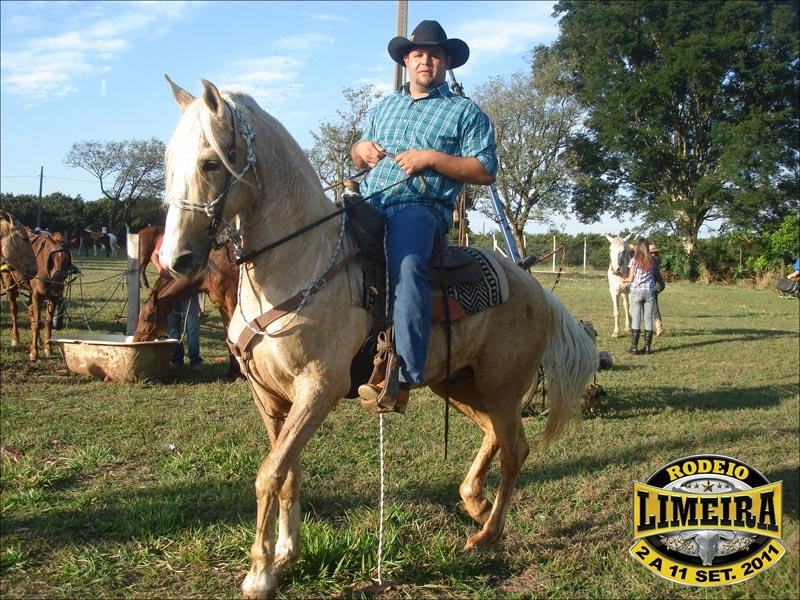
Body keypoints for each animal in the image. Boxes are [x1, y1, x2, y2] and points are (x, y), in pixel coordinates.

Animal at [133, 240, 241, 379]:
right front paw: (231, 372)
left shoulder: (233, 302)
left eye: (147, 318)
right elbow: (228, 337)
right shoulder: (222, 306)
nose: (136, 340)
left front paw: (241, 374)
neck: (209, 271)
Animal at [158, 77, 597, 598]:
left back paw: (487, 534)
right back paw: (476, 505)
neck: (302, 260)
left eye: (209, 162)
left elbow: (270, 474)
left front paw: (260, 573)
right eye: (169, 162)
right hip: (461, 384)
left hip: (503, 387)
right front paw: (286, 554)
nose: (175, 259)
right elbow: (288, 474)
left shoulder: (319, 388)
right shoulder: (269, 396)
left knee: (516, 451)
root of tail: (536, 290)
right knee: (495, 436)